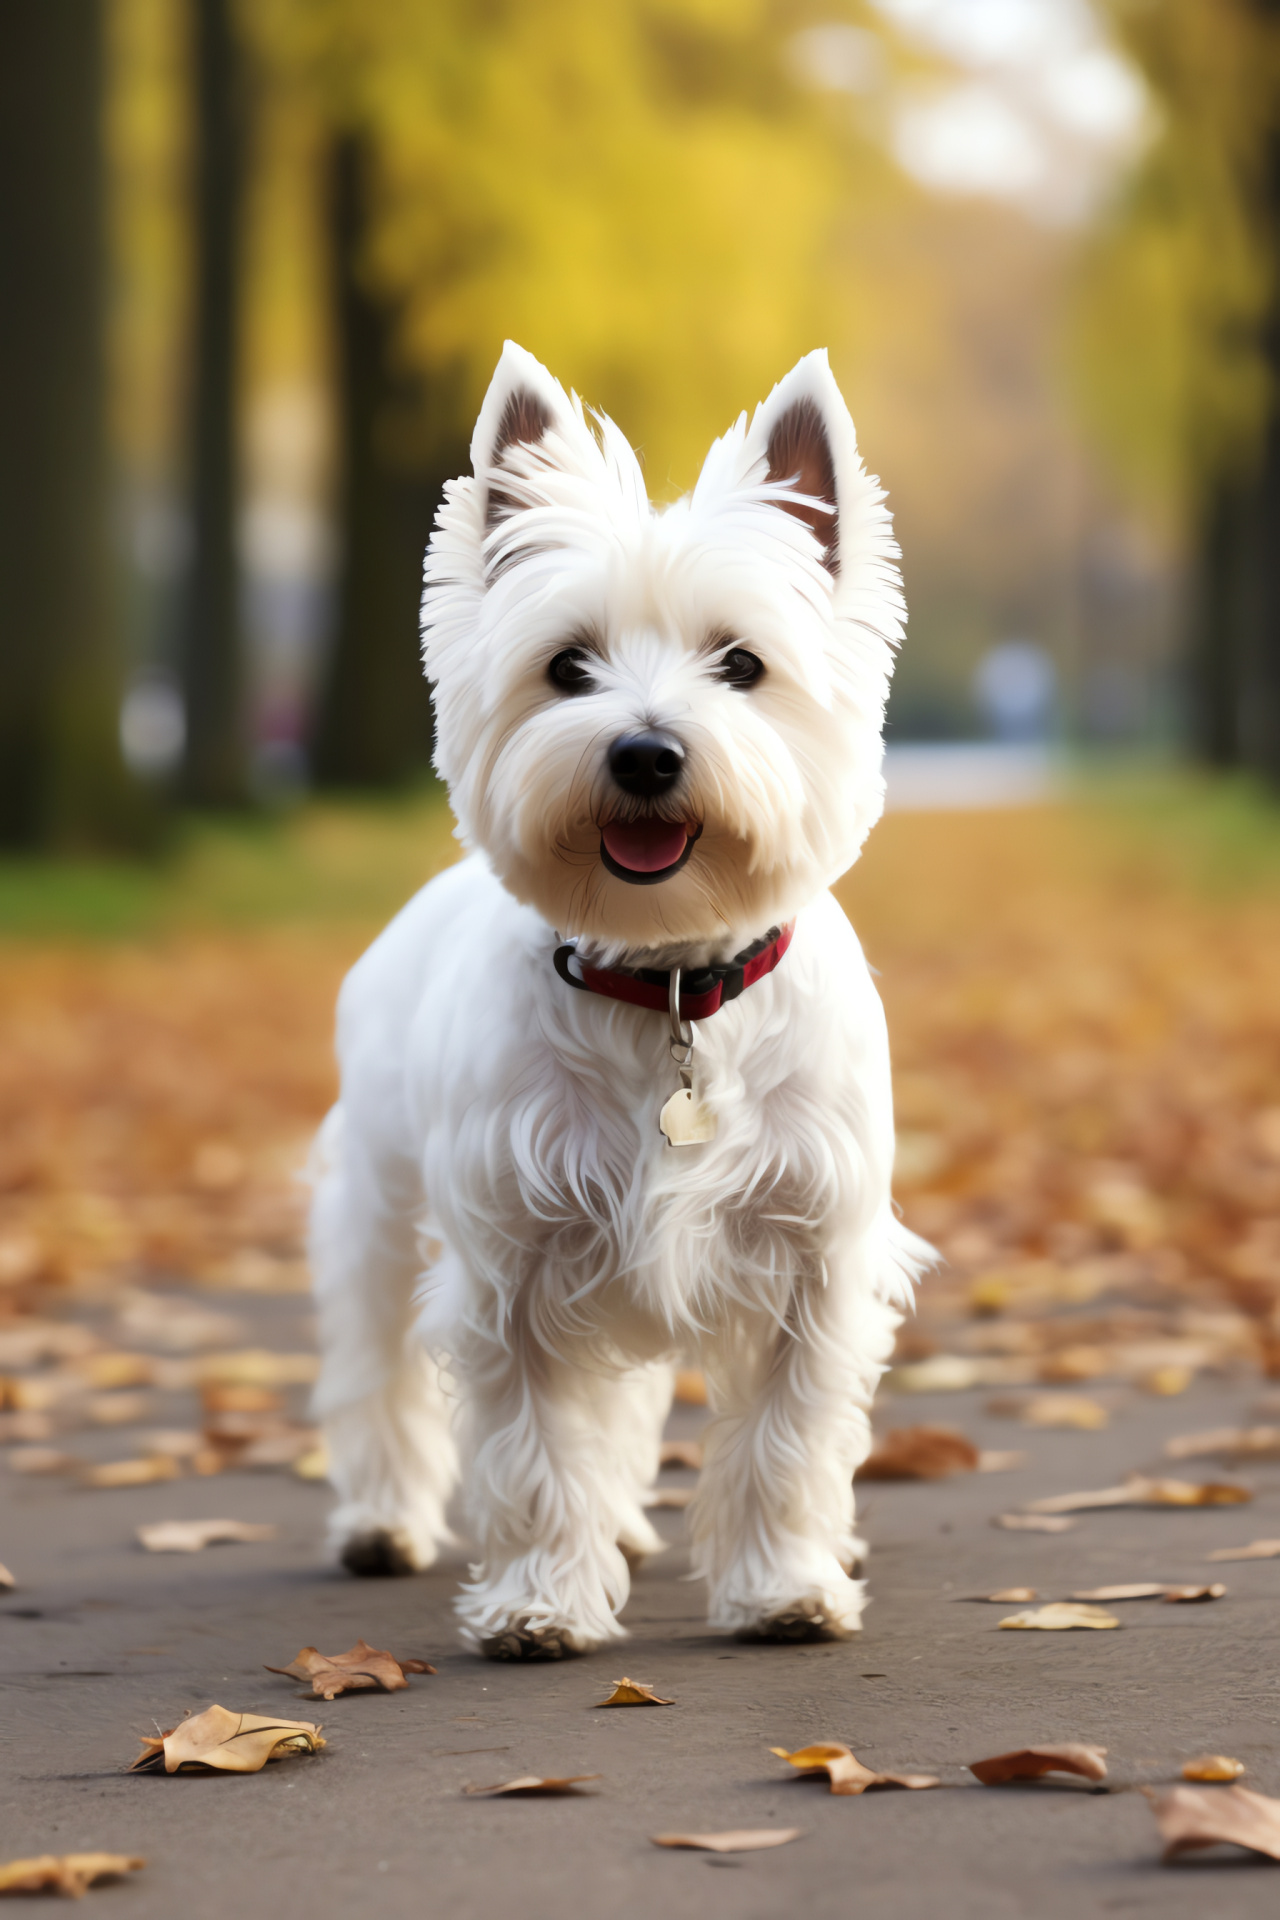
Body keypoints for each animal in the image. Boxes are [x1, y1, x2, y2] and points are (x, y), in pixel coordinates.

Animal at [310, 341, 932, 1651]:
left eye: (741, 664)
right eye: (567, 667)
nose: (645, 753)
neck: (670, 984)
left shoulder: (812, 1252)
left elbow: (786, 1442)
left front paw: (785, 1587)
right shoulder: (515, 1258)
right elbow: (535, 1446)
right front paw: (540, 1603)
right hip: (378, 1206)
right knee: (378, 1365)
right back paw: (383, 1522)